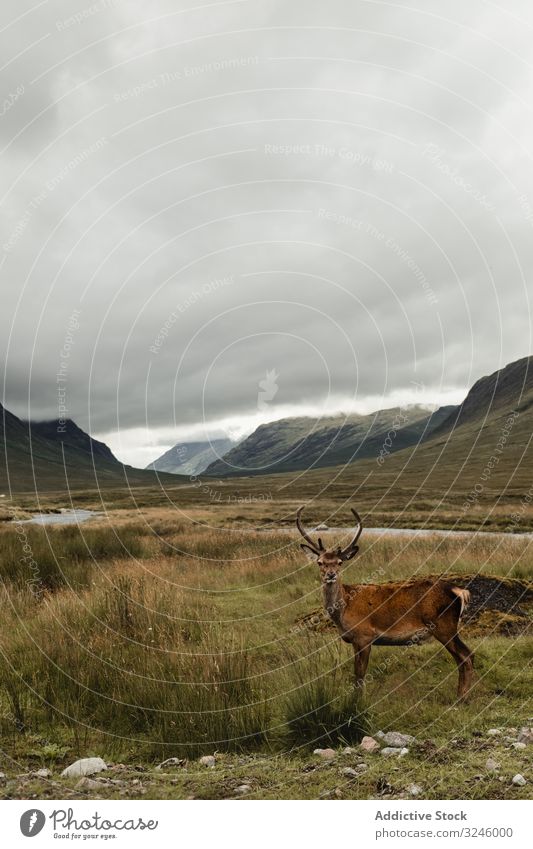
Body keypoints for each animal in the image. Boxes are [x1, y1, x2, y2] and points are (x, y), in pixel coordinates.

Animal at [296, 506, 474, 700]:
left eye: (340, 562)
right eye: (320, 562)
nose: (331, 574)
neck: (343, 611)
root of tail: (459, 591)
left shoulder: (364, 635)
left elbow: (360, 675)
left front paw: (357, 702)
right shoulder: (355, 640)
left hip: (444, 625)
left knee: (466, 656)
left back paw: (462, 698)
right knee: (464, 657)